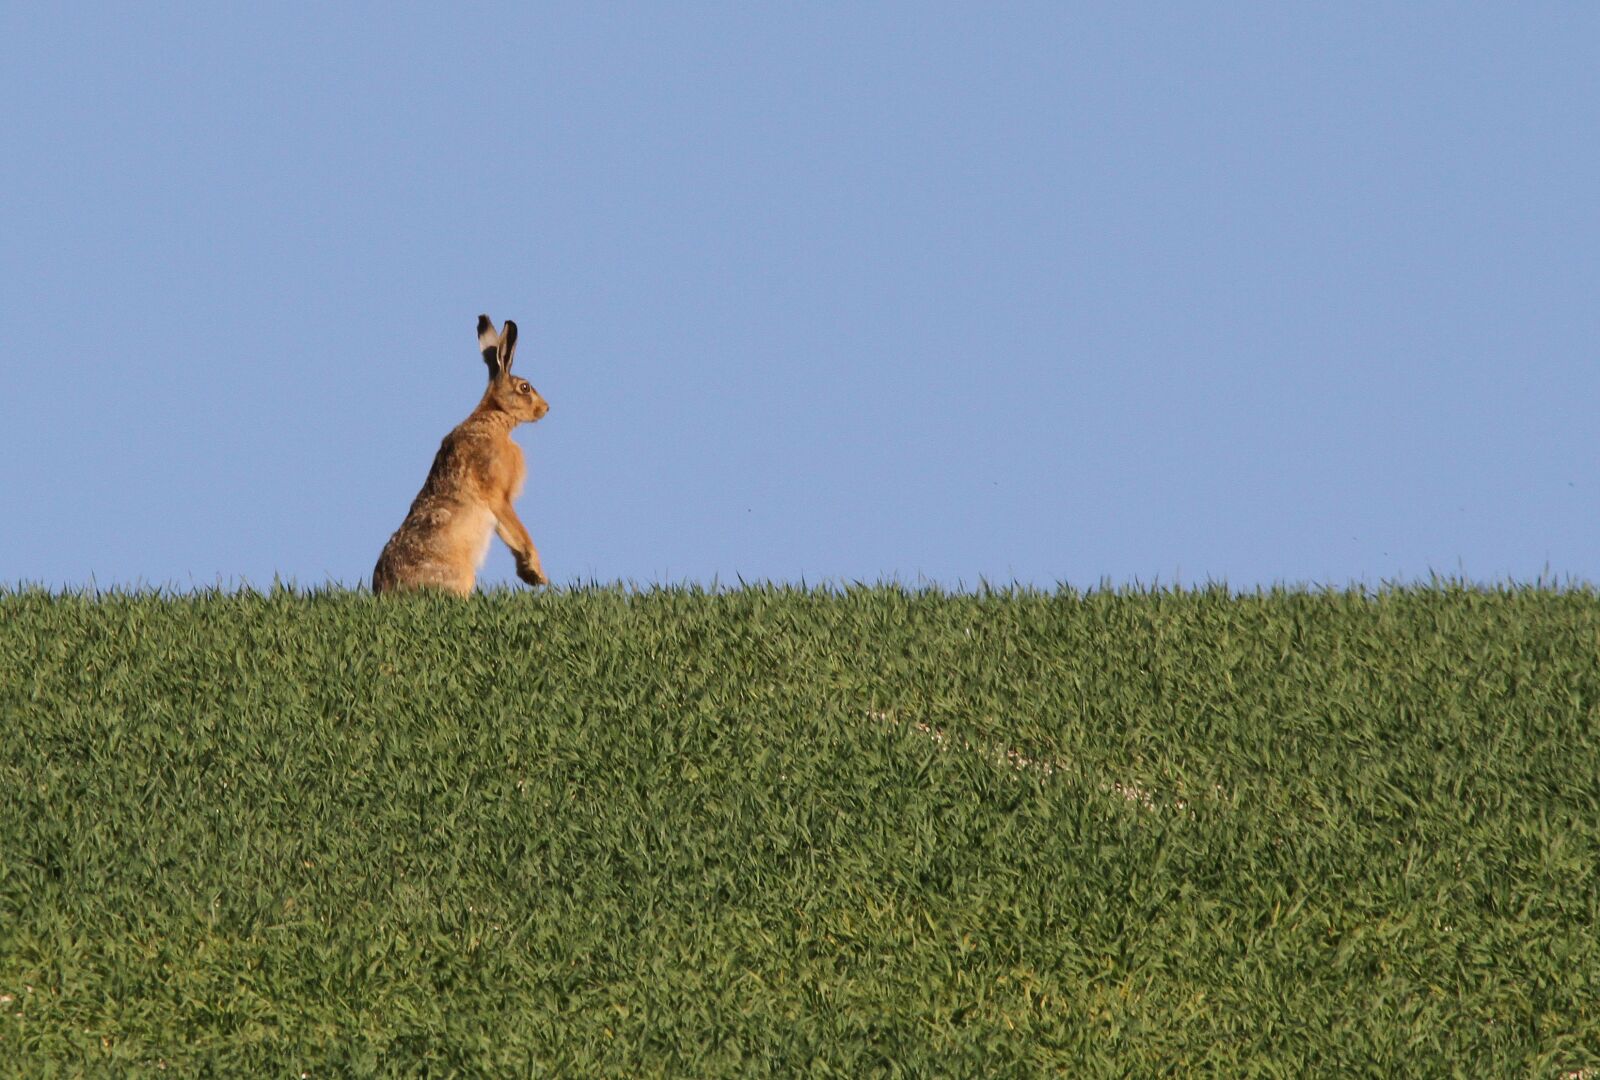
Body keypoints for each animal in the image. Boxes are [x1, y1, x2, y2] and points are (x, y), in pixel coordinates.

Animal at [372, 314, 550, 595]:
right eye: (525, 387)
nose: (546, 408)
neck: (494, 418)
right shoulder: (499, 496)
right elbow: (518, 531)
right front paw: (537, 573)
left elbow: (508, 535)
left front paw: (530, 575)